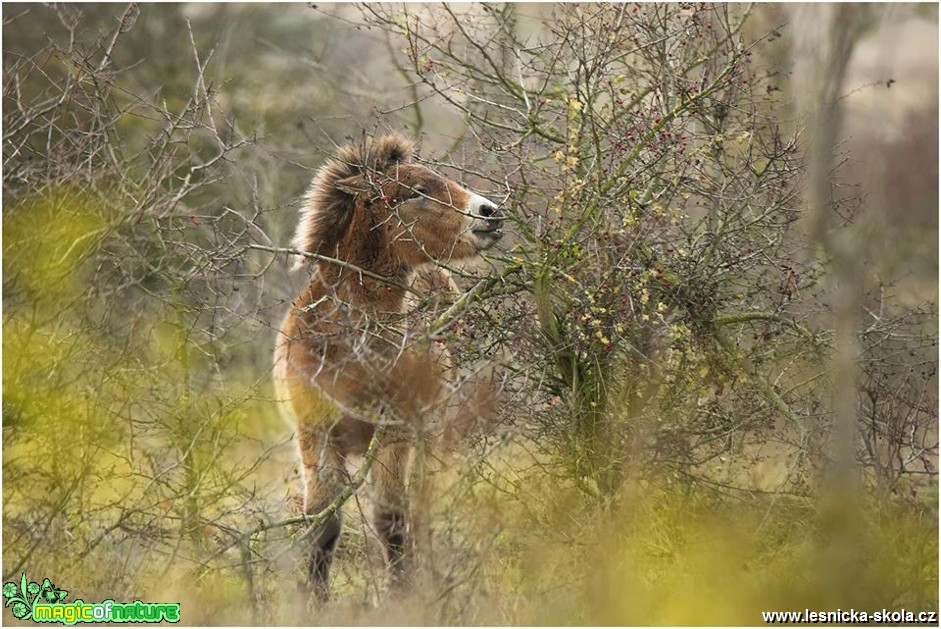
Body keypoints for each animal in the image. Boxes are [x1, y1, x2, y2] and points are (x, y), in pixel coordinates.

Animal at [272, 135, 504, 600]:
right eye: (415, 192)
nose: (490, 213)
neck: (348, 350)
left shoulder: (395, 433)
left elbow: (390, 520)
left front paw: (402, 595)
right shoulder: (315, 434)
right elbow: (323, 523)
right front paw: (316, 602)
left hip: (429, 435)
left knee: (423, 504)